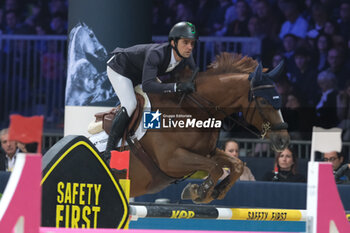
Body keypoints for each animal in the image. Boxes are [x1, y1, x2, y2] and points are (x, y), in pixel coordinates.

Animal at [110, 52, 288, 202]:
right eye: (263, 101)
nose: (283, 140)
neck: (193, 111)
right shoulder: (171, 160)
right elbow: (216, 168)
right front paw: (199, 192)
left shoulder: (207, 152)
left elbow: (236, 165)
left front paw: (216, 191)